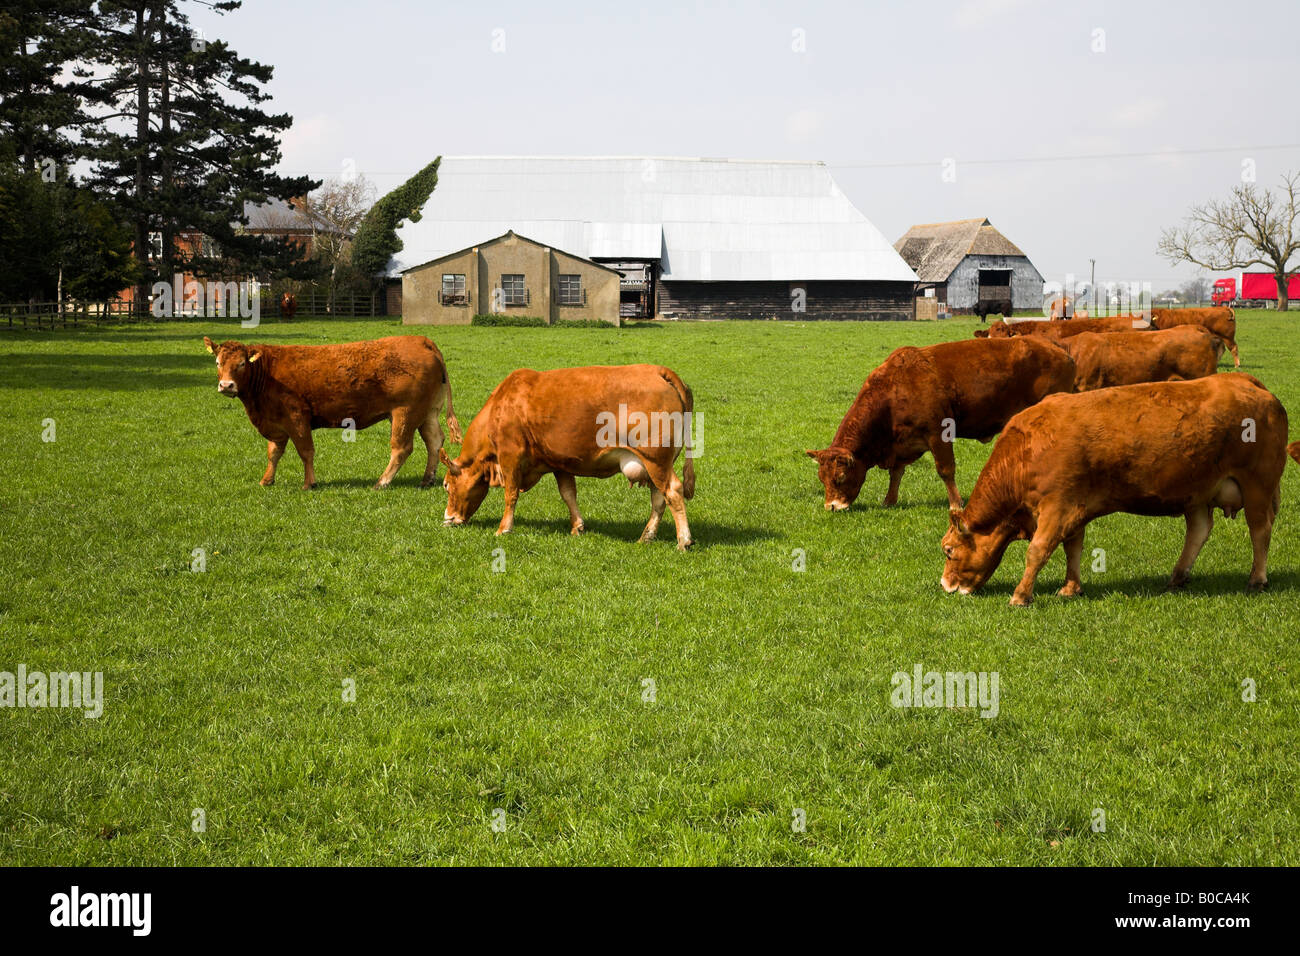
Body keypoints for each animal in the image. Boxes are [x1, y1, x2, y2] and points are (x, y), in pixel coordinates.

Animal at [203, 335, 460, 490]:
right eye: (217, 362)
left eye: (242, 364)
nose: (226, 385)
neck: (267, 373)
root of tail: (420, 340)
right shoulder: (276, 423)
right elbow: (274, 453)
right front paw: (267, 480)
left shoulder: (297, 418)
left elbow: (306, 452)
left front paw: (309, 483)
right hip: (427, 413)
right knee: (434, 442)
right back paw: (427, 479)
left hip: (404, 413)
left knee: (402, 448)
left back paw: (382, 482)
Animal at [439, 364, 697, 549]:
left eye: (446, 485)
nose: (448, 518)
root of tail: (658, 370)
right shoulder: (559, 463)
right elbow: (568, 494)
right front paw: (577, 526)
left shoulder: (510, 457)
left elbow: (510, 495)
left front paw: (504, 528)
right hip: (656, 464)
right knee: (659, 499)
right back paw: (647, 536)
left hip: (656, 461)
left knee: (673, 491)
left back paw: (683, 540)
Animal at [807, 337, 1076, 512]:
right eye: (821, 479)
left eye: (840, 477)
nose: (831, 507)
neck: (893, 389)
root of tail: (1057, 348)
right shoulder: (903, 442)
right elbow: (897, 473)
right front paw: (889, 500)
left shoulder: (938, 433)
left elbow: (946, 470)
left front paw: (956, 504)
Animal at [940, 373, 1288, 605]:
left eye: (948, 550)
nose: (945, 585)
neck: (1028, 448)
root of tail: (1247, 382)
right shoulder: (1073, 509)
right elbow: (1073, 548)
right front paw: (1071, 588)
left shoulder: (1057, 507)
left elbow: (1038, 551)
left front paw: (1021, 596)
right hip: (1199, 493)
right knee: (1200, 530)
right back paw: (1177, 577)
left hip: (1257, 486)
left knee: (1260, 530)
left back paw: (1257, 579)